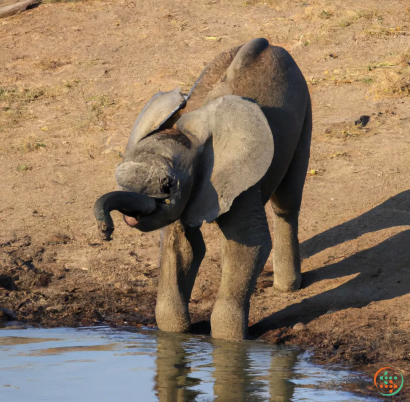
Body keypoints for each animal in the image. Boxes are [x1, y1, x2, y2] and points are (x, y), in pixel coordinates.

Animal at [93, 37, 310, 340]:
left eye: (167, 186)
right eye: (118, 176)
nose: (106, 231)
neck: (191, 137)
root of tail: (271, 44)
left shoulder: (237, 180)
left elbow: (248, 243)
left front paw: (228, 340)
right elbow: (182, 246)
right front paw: (175, 334)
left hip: (305, 105)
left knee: (287, 200)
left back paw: (288, 287)